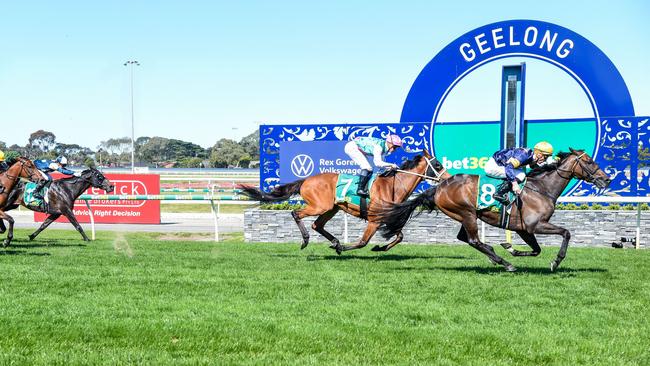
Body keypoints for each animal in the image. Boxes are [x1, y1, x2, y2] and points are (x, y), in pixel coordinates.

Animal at [240, 150, 448, 253]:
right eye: (438, 165)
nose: (447, 178)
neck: (393, 185)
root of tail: (305, 180)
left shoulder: (387, 217)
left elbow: (400, 236)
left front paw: (380, 247)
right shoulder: (374, 220)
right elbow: (363, 242)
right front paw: (343, 248)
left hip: (332, 209)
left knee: (317, 225)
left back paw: (334, 241)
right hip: (319, 206)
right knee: (296, 213)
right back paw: (307, 240)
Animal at [372, 149, 612, 272]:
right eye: (589, 161)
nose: (607, 179)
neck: (541, 189)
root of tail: (439, 186)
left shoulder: (524, 229)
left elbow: (536, 250)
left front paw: (511, 248)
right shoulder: (536, 225)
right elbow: (566, 233)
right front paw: (556, 261)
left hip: (464, 215)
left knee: (466, 239)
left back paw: (497, 256)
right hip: (466, 213)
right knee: (473, 240)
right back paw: (505, 264)